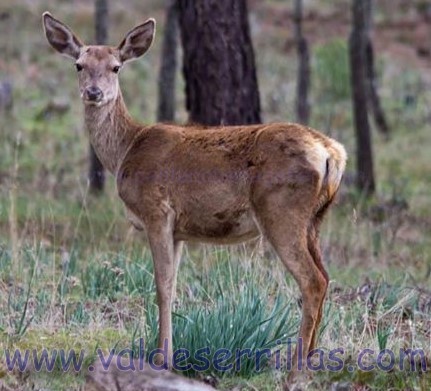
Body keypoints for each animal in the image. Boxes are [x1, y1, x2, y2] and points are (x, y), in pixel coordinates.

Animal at [43, 11, 348, 382]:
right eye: (79, 65)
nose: (93, 92)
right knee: (327, 277)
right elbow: (172, 286)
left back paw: (296, 372)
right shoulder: (179, 230)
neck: (125, 150)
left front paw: (162, 361)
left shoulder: (156, 210)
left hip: (281, 211)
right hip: (314, 220)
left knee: (312, 280)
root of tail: (331, 152)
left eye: (116, 67)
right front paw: (169, 356)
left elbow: (161, 287)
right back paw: (313, 362)